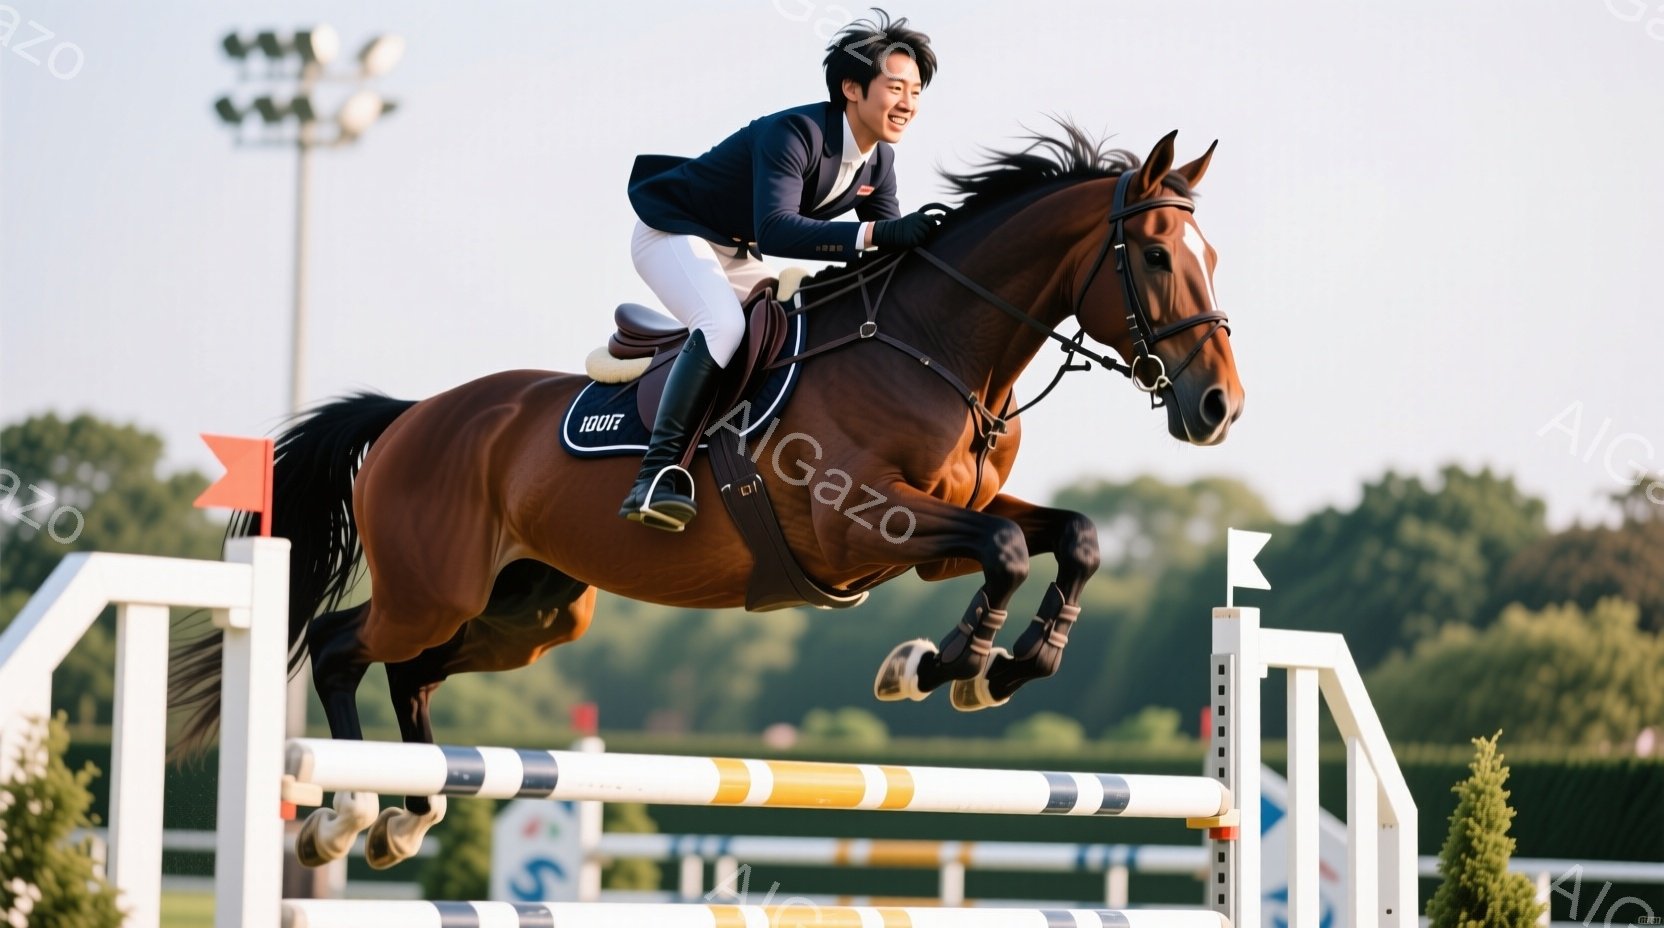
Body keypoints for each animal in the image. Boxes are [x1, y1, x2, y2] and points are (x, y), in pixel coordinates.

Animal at [168, 125, 1243, 870]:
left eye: (1211, 258)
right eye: (1155, 256)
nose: (1217, 406)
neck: (936, 349)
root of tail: (409, 415)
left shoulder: (937, 534)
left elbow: (1072, 538)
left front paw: (994, 668)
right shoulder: (862, 521)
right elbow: (1011, 553)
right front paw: (941, 667)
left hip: (531, 612)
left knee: (414, 673)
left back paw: (411, 812)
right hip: (435, 587)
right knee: (343, 646)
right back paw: (349, 812)